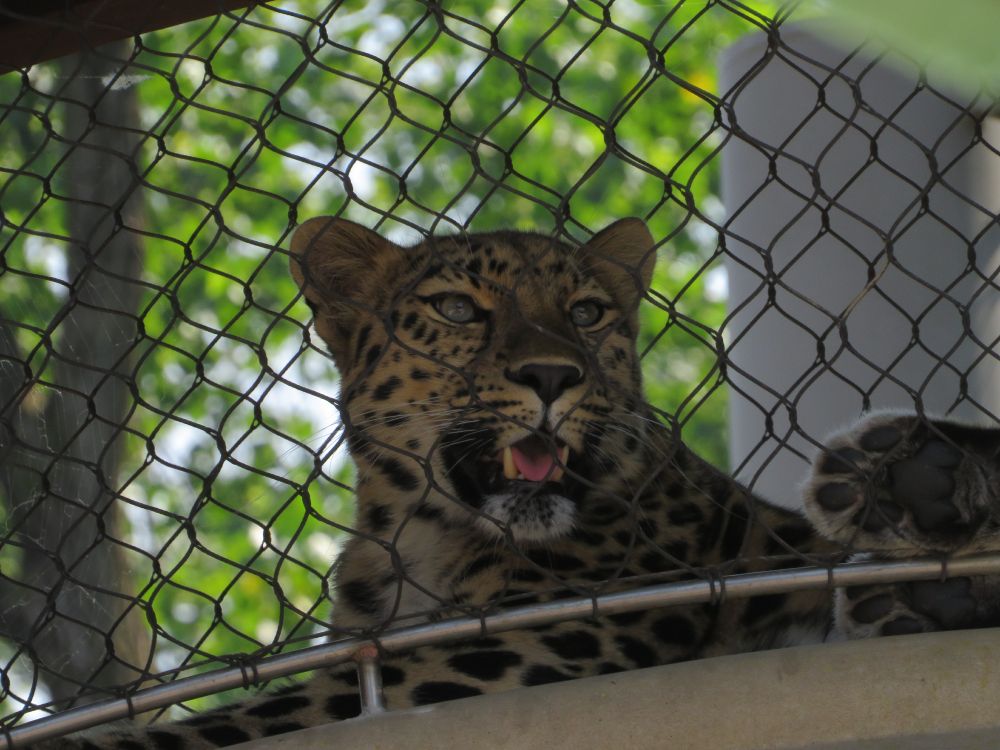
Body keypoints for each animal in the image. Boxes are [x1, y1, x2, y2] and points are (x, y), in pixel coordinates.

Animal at [33, 217, 1000, 749]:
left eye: (587, 313)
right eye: (460, 309)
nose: (551, 376)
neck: (415, 543)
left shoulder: (536, 640)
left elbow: (241, 719)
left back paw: (922, 489)